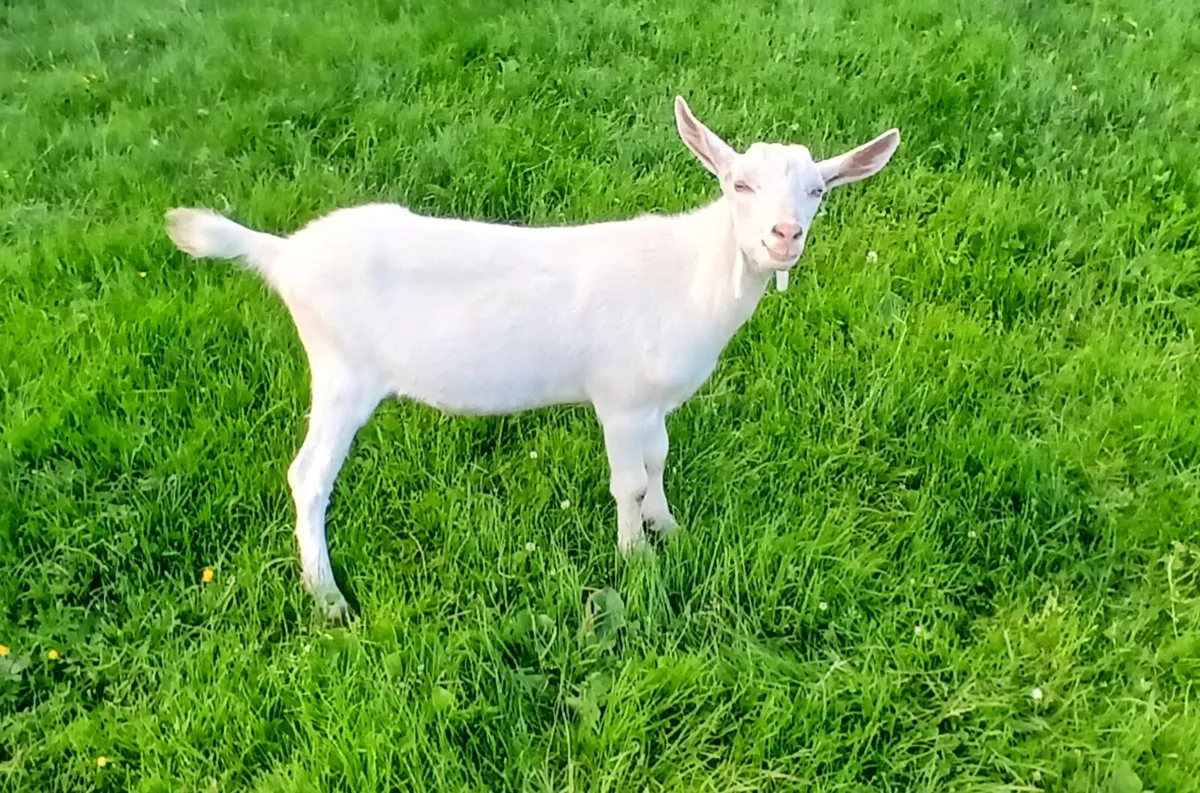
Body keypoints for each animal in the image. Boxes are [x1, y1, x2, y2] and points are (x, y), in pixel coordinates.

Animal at [166, 96, 900, 619]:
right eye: (738, 185)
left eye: (819, 191)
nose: (785, 236)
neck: (691, 275)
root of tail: (284, 254)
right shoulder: (618, 398)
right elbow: (628, 482)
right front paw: (636, 560)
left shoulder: (652, 401)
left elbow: (659, 462)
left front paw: (672, 530)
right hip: (343, 372)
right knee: (309, 476)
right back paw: (328, 599)